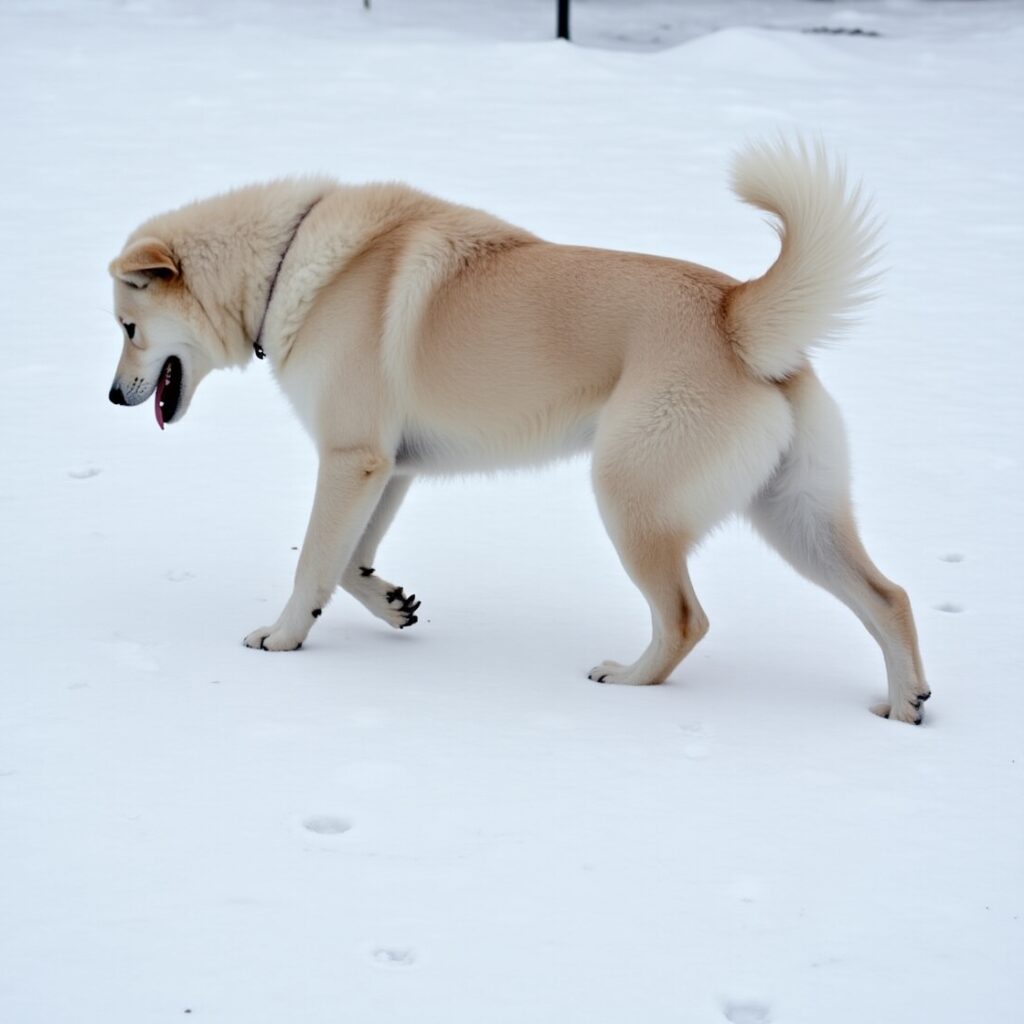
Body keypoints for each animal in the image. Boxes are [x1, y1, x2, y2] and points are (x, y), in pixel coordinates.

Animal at [108, 140, 933, 724]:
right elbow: (349, 564)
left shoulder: (351, 459)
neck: (293, 267)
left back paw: (628, 679)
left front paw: (283, 639)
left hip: (631, 500)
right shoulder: (391, 467)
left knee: (685, 620)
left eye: (127, 327)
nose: (114, 396)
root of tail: (735, 314)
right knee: (887, 596)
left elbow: (314, 564)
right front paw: (391, 603)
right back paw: (904, 706)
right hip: (796, 516)